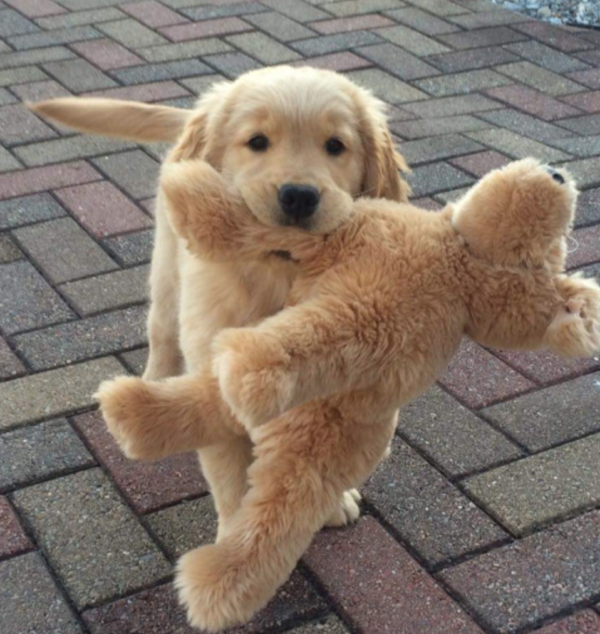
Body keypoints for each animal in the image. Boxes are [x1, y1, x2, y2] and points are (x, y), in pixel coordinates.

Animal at [32, 65, 410, 535]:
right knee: (161, 335)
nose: (299, 195)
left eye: (336, 146)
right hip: (167, 272)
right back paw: (153, 387)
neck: (278, 278)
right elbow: (231, 480)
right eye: (257, 142)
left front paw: (333, 500)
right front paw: (236, 537)